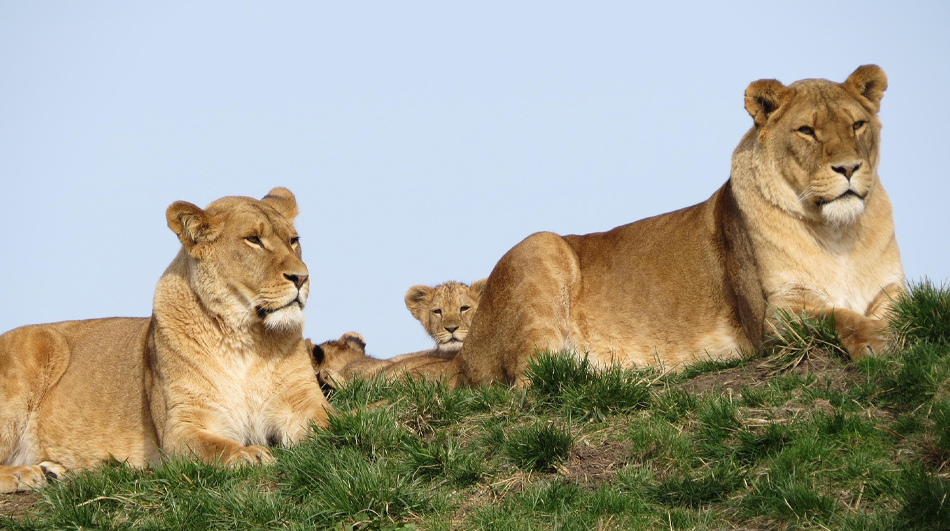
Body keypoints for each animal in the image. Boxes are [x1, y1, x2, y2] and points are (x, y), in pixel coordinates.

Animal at [0, 187, 333, 493]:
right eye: (253, 239)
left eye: (293, 240)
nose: (302, 278)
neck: (245, 338)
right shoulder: (181, 427)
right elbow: (218, 448)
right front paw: (249, 455)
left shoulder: (300, 400)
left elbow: (331, 421)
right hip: (35, 355)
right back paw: (26, 474)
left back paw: (51, 471)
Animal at [453, 65, 905, 386]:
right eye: (807, 131)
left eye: (857, 125)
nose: (849, 168)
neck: (836, 233)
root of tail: (464, 353)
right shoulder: (774, 315)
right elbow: (838, 315)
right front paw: (876, 340)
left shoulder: (892, 288)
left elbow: (897, 309)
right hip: (540, 248)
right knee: (531, 385)